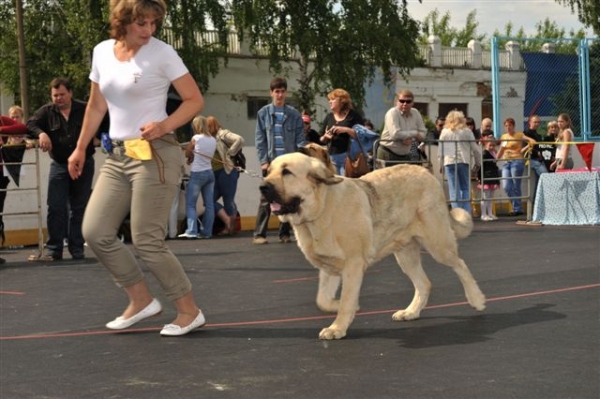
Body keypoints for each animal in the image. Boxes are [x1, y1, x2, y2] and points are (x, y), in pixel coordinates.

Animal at [260, 153, 486, 340]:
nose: (263, 187)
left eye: (287, 172)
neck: (321, 208)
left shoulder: (352, 266)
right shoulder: (329, 268)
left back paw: (476, 299)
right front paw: (337, 307)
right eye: (269, 171)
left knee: (460, 265)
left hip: (437, 243)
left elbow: (346, 300)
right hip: (405, 255)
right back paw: (411, 312)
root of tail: (426, 172)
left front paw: (337, 327)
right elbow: (322, 300)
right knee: (425, 283)